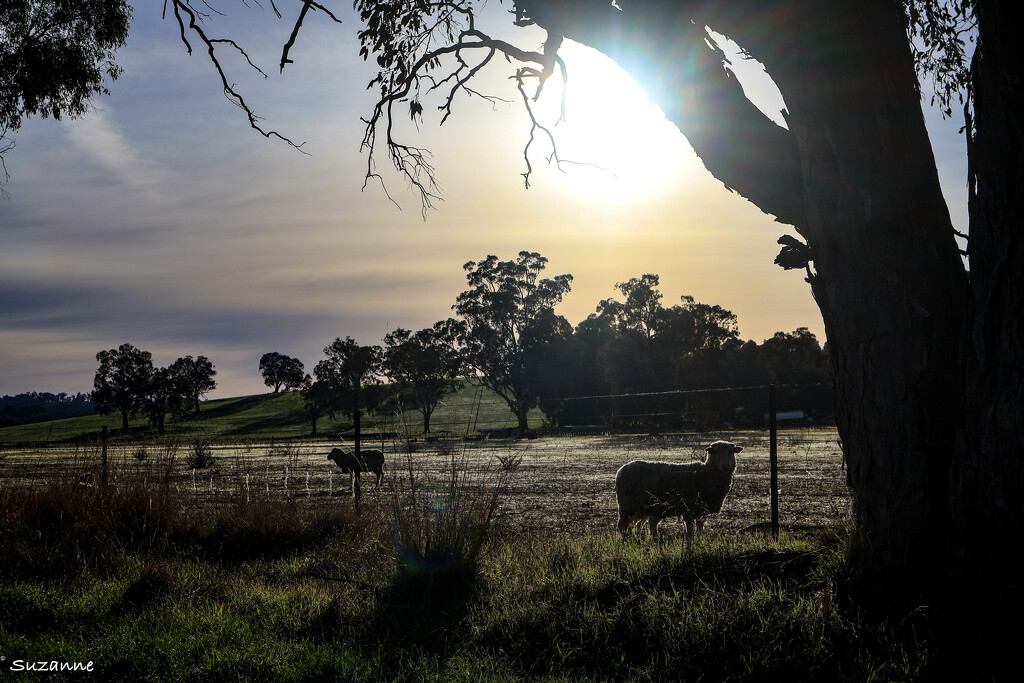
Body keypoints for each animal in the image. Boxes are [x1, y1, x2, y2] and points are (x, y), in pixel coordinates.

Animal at [610, 440, 741, 540]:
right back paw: (626, 541)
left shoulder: (702, 511)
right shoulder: (688, 508)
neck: (705, 473)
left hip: (641, 508)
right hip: (627, 505)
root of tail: (621, 470)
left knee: (633, 526)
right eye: (715, 452)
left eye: (731, 452)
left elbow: (700, 529)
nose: (726, 466)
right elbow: (690, 531)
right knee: (622, 525)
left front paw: (700, 541)